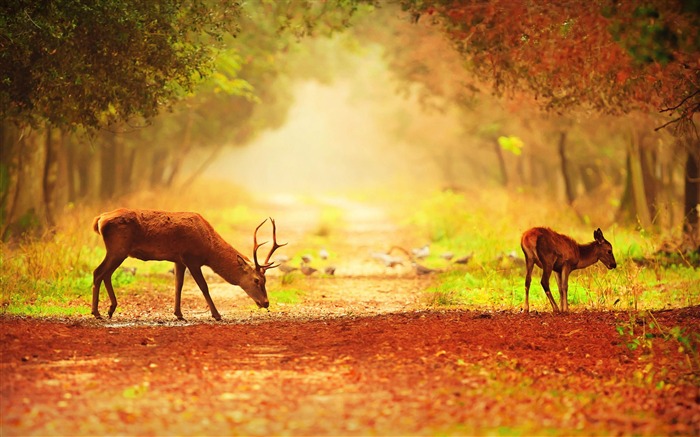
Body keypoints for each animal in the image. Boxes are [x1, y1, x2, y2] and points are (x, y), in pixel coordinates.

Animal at [91, 208, 286, 320]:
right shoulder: (192, 258)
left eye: (265, 280)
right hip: (118, 248)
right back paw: (97, 312)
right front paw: (216, 315)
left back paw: (110, 310)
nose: (266, 302)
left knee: (105, 273)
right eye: (256, 280)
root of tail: (100, 219)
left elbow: (178, 285)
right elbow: (203, 287)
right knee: (98, 272)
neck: (208, 248)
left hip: (118, 251)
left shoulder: (179, 259)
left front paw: (178, 314)